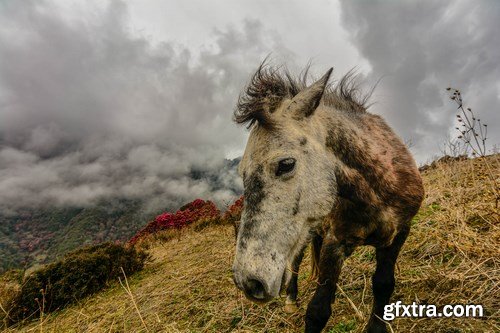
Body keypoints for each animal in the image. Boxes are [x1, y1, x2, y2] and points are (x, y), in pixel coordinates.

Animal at [230, 63, 422, 332]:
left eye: (286, 164)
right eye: (242, 173)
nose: (248, 282)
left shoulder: (400, 232)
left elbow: (383, 284)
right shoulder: (335, 242)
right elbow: (318, 311)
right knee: (296, 262)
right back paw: (291, 299)